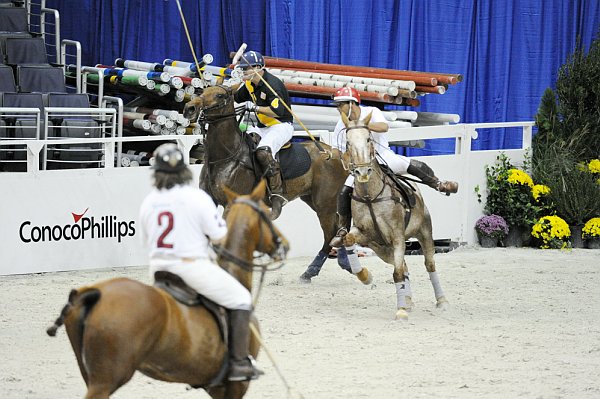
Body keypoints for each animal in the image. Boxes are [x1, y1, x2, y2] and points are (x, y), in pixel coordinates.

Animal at [45, 182, 290, 399]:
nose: (285, 245)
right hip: (107, 379)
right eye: (266, 211)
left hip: (89, 373)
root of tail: (93, 295)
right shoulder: (235, 386)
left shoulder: (214, 387)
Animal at [183, 85, 352, 282]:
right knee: (336, 230)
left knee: (330, 234)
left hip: (324, 203)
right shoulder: (211, 200)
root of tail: (338, 154)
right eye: (202, 91)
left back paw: (314, 270)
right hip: (311, 199)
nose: (190, 108)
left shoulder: (233, 203)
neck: (225, 157)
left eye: (220, 95)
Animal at [340, 113, 448, 322]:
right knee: (404, 266)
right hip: (383, 250)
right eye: (348, 143)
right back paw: (407, 299)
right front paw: (365, 276)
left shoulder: (397, 236)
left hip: (424, 231)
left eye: (368, 139)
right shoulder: (364, 234)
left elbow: (397, 273)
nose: (362, 172)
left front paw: (401, 311)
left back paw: (441, 300)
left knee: (429, 265)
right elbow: (348, 239)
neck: (370, 196)